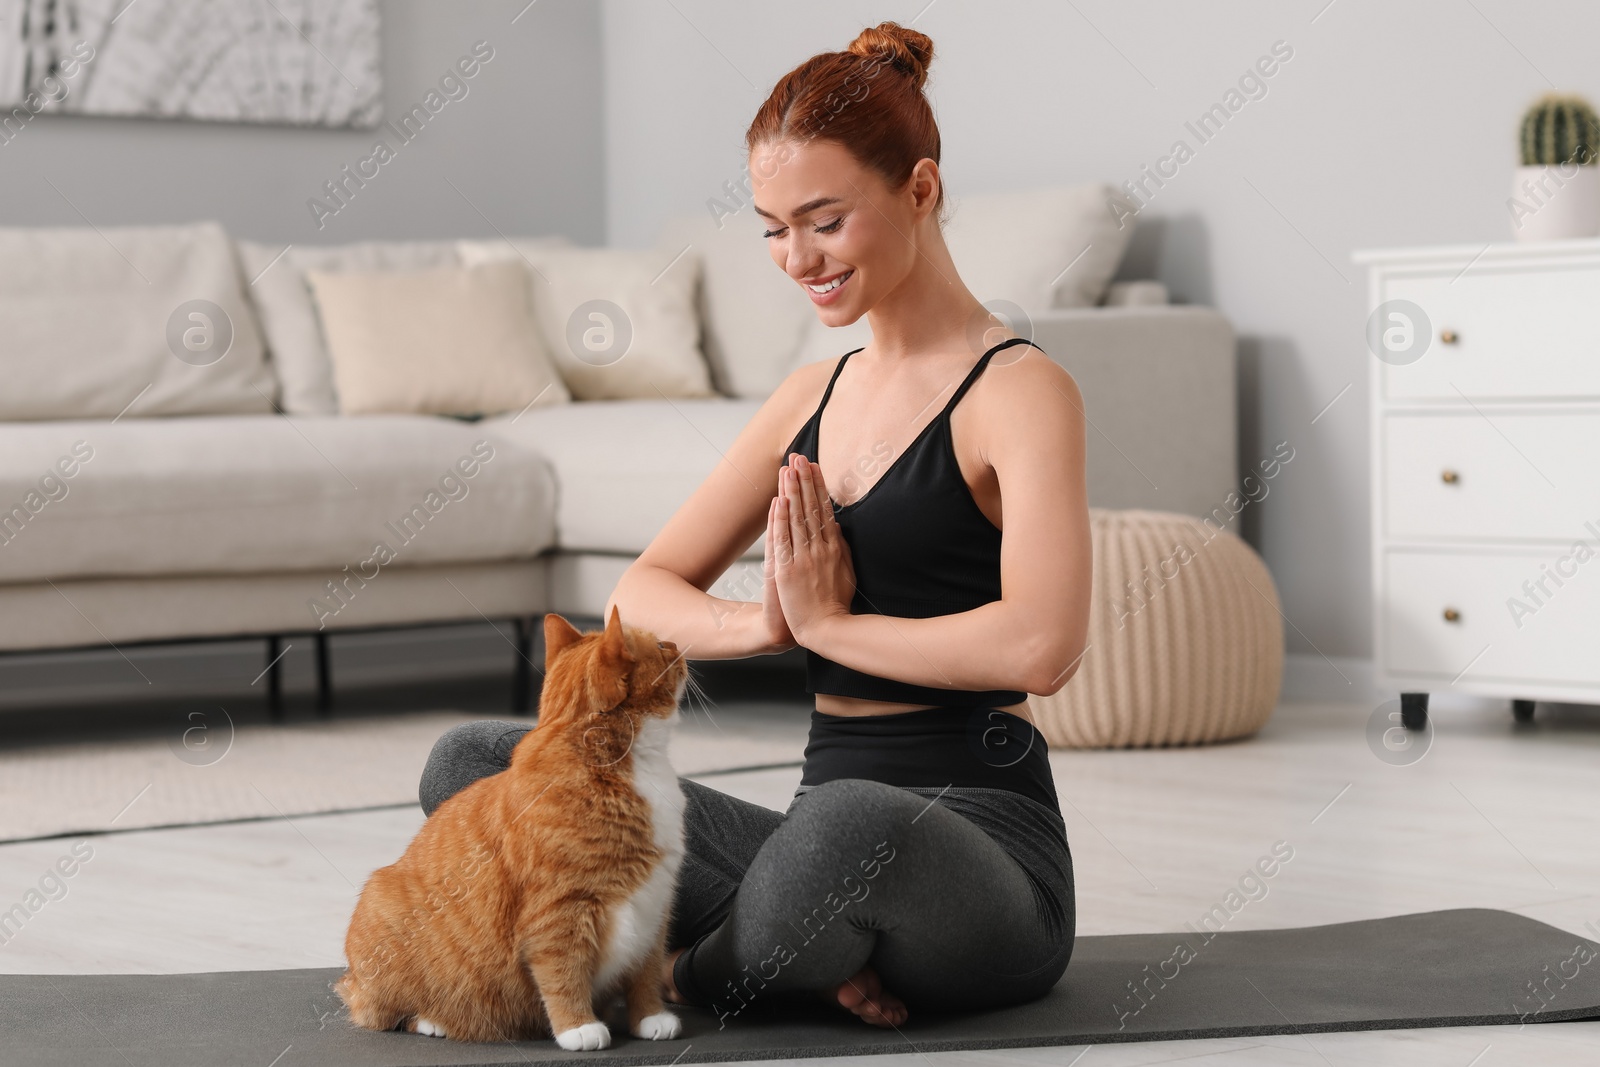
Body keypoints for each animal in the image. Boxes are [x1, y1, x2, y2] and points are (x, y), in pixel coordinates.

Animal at [337, 607, 688, 1049]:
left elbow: (645, 973)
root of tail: (351, 980)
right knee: (384, 1014)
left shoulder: (654, 907)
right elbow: (563, 974)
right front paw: (577, 1027)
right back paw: (436, 1021)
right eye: (660, 645)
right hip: (382, 913)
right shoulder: (559, 912)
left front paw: (650, 1018)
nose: (678, 644)